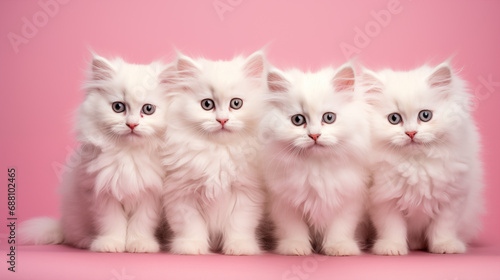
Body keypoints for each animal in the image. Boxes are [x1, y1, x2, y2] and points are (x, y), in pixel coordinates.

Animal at [20, 53, 169, 253]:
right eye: (118, 107)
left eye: (148, 109)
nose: (132, 124)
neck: (128, 154)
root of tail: (62, 225)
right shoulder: (102, 193)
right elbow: (113, 222)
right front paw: (110, 244)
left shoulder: (150, 196)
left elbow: (141, 223)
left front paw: (140, 244)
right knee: (74, 237)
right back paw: (87, 241)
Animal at [162, 51, 268, 255]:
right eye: (207, 104)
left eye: (236, 103)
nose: (222, 120)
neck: (219, 152)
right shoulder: (182, 195)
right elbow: (191, 226)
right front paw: (191, 247)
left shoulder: (246, 194)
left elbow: (239, 225)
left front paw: (240, 248)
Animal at [262, 64, 372, 256]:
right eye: (298, 120)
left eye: (329, 117)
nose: (314, 135)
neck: (316, 167)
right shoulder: (284, 202)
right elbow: (293, 228)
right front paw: (295, 247)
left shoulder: (349, 200)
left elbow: (340, 228)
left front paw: (339, 247)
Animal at [364, 62, 484, 255]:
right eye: (394, 118)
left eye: (425, 115)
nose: (411, 133)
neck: (416, 164)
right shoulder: (384, 200)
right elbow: (391, 228)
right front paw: (391, 248)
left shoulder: (451, 199)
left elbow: (443, 227)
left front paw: (445, 246)